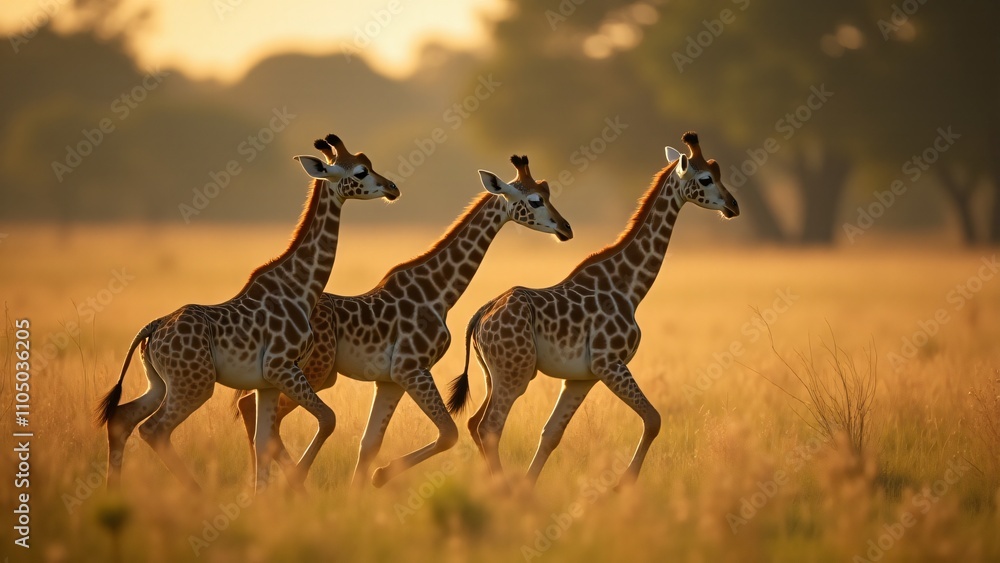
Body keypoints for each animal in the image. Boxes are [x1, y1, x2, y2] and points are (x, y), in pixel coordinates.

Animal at [95, 134, 399, 494]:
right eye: (361, 171)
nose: (392, 187)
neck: (301, 287)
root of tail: (152, 328)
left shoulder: (267, 381)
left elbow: (264, 440)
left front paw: (261, 498)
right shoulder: (282, 367)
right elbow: (327, 419)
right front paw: (294, 484)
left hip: (160, 382)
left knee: (122, 418)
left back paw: (113, 491)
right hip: (194, 385)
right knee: (153, 429)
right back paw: (197, 494)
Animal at [234, 155, 574, 488]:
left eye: (548, 192)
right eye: (535, 200)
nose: (566, 228)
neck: (439, 292)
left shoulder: (389, 379)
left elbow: (370, 443)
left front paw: (361, 490)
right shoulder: (411, 368)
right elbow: (448, 433)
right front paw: (381, 475)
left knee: (251, 409)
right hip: (311, 370)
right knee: (259, 412)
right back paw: (287, 483)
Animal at [447, 132, 740, 489]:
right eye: (706, 178)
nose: (733, 206)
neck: (629, 286)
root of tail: (481, 317)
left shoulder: (582, 377)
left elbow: (551, 433)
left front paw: (530, 489)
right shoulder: (608, 362)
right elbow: (653, 419)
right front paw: (623, 484)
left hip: (495, 373)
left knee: (476, 423)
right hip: (515, 372)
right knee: (489, 426)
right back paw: (501, 490)